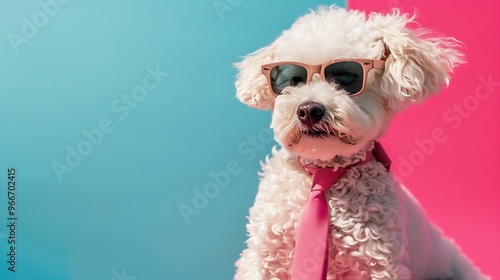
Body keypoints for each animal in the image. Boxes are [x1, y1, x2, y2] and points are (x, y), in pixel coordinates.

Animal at [232, 4, 490, 280]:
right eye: (293, 80)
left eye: (345, 78)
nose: (309, 110)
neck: (322, 176)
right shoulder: (263, 259)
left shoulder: (380, 264)